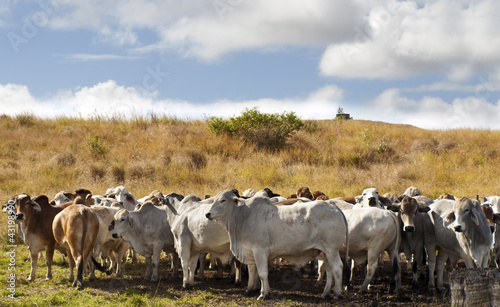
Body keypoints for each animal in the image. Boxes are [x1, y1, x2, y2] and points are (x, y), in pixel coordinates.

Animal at [205, 190, 350, 300]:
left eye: (223, 200)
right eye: (214, 200)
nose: (207, 214)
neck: (244, 217)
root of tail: (333, 207)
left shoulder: (260, 251)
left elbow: (262, 274)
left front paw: (263, 294)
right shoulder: (250, 252)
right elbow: (253, 272)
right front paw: (251, 289)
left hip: (332, 250)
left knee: (337, 268)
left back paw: (337, 294)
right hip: (325, 252)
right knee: (330, 271)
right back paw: (325, 293)